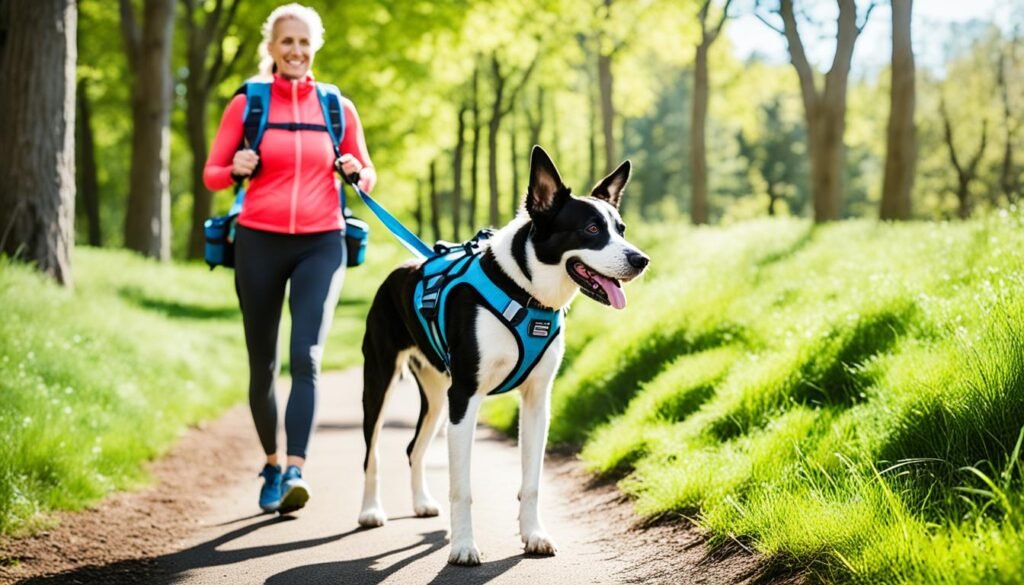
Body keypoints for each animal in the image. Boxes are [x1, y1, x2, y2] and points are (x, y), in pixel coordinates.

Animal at [358, 147, 647, 569]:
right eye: (592, 230)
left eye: (621, 229)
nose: (641, 260)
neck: (526, 292)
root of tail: (398, 271)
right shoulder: (465, 397)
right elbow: (462, 487)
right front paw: (463, 547)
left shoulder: (537, 401)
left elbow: (532, 481)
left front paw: (534, 535)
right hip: (381, 381)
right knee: (372, 452)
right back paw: (370, 511)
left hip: (436, 395)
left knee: (414, 447)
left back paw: (422, 503)